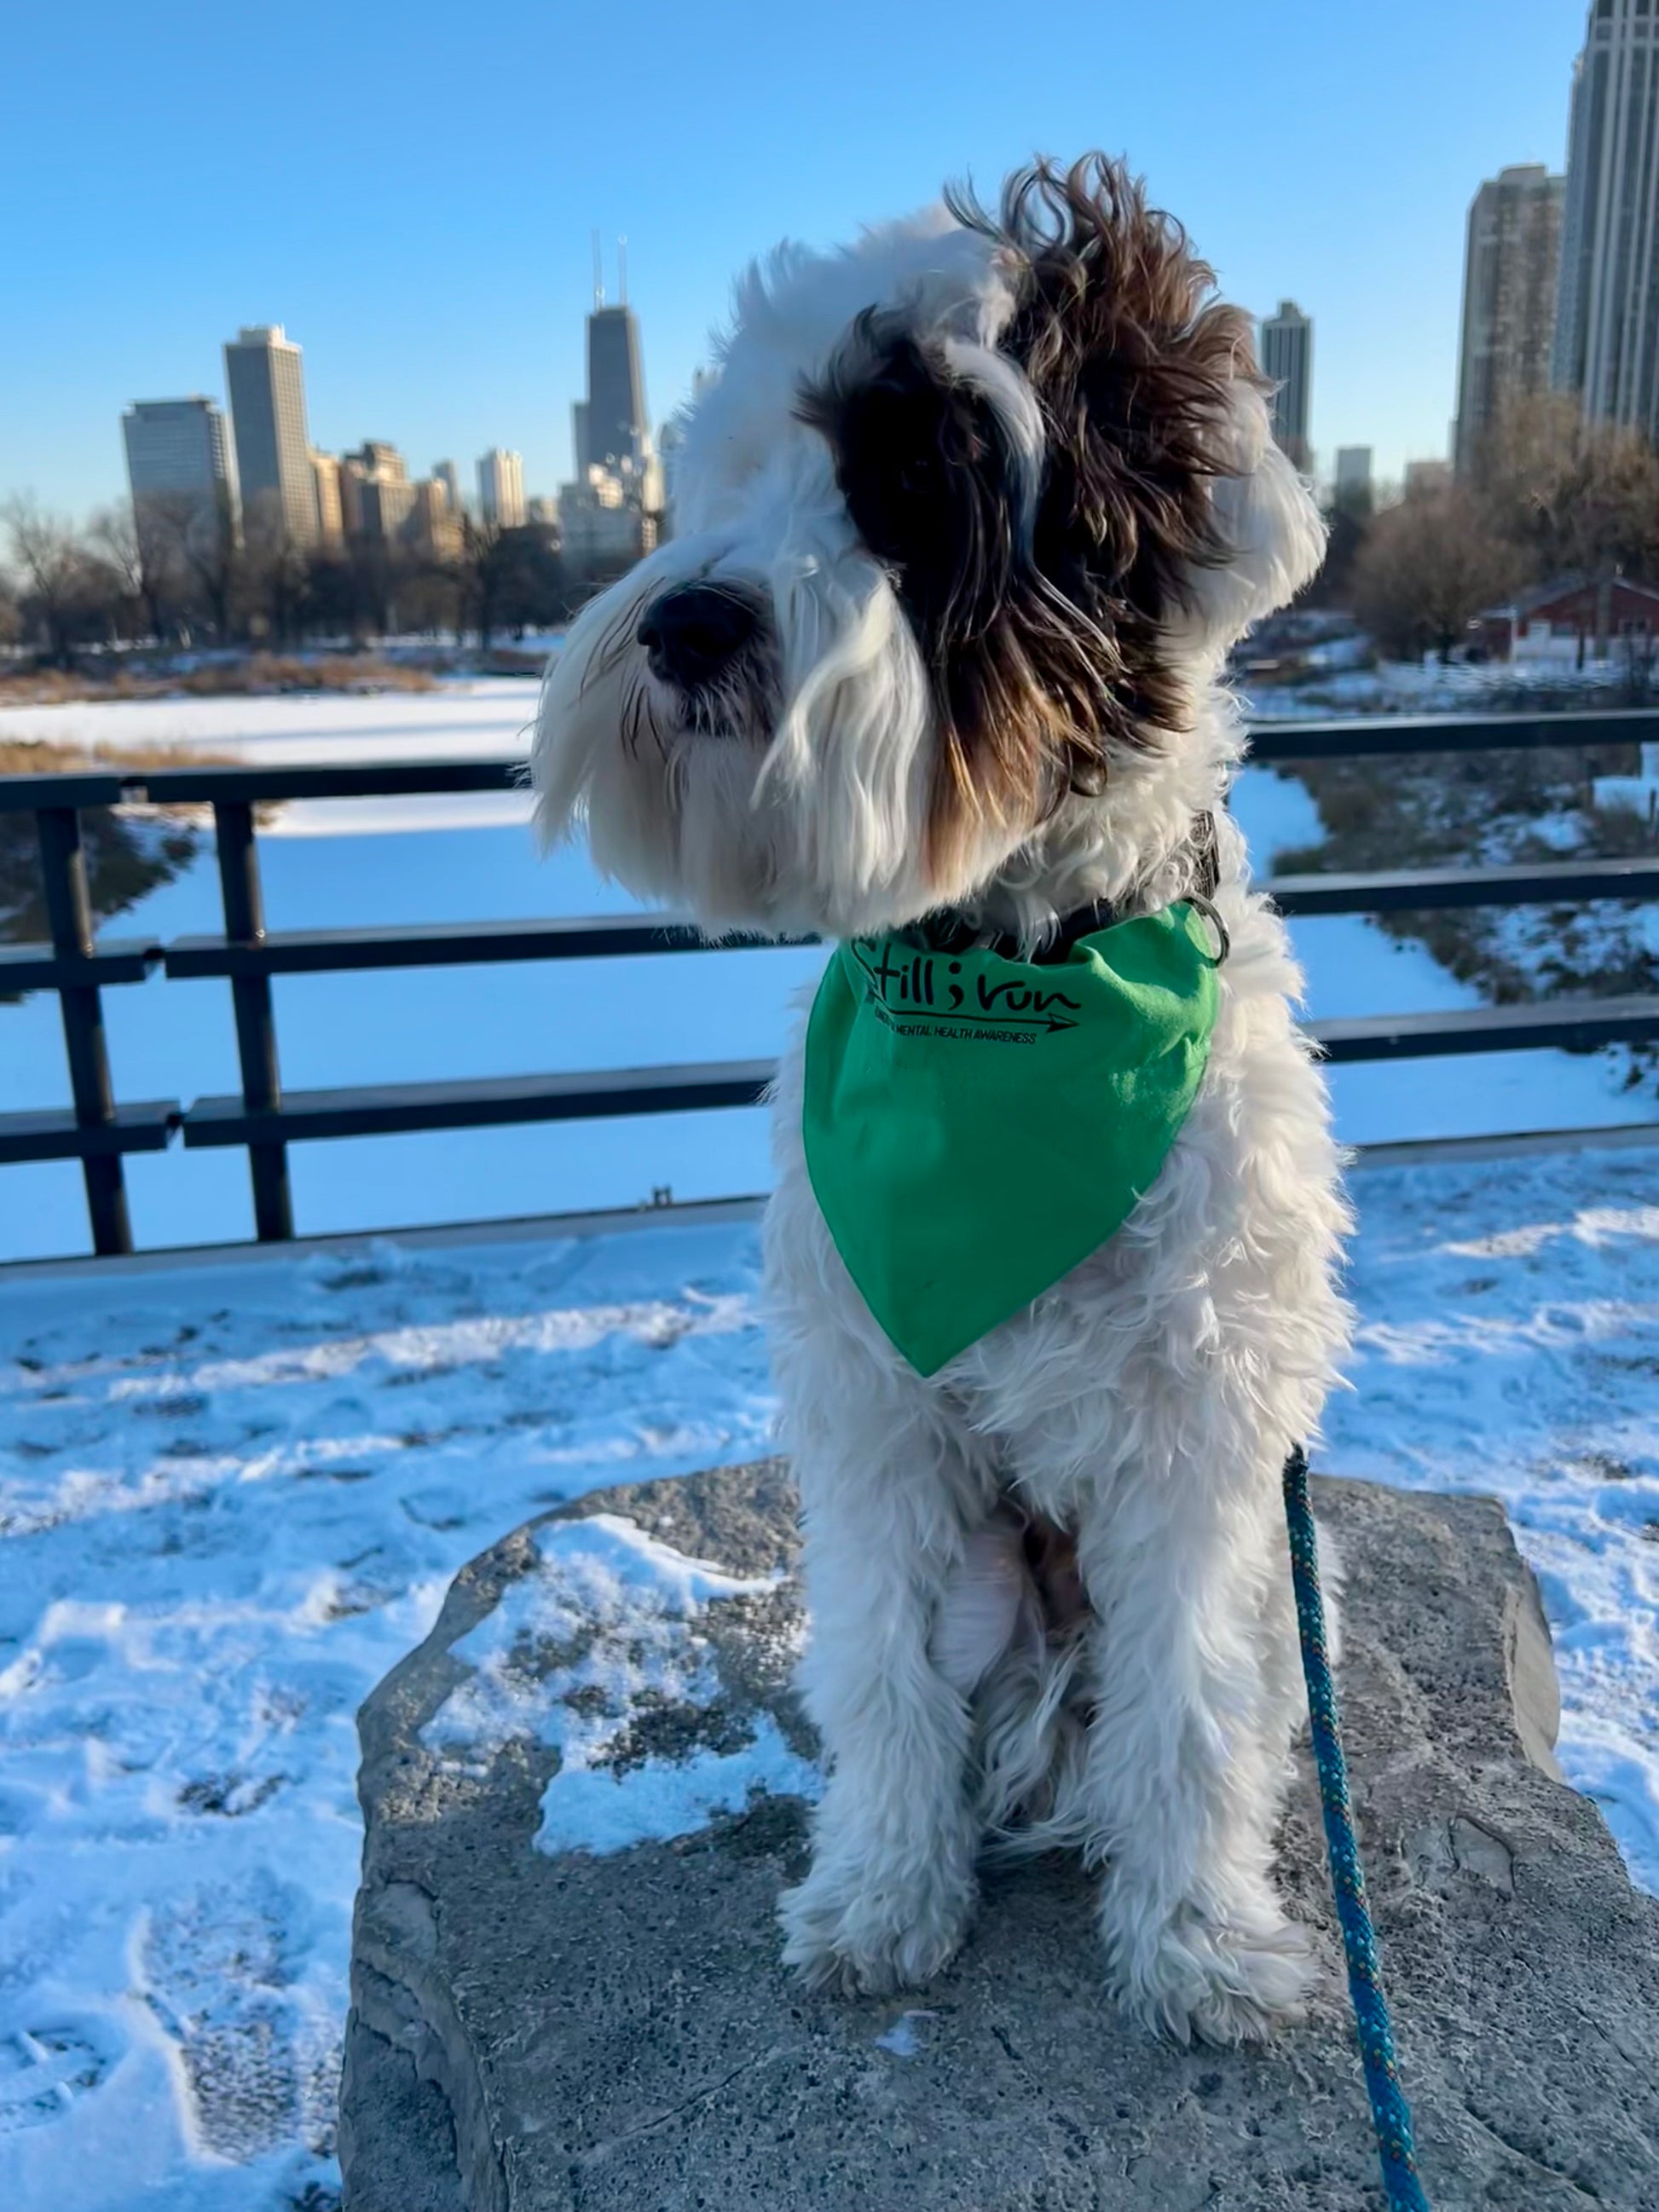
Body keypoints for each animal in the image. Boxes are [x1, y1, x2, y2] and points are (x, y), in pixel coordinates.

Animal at [540, 160, 1353, 2053]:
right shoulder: (877, 1413)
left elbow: (1187, 1704)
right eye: (730, 471)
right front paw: (883, 1899)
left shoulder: (1201, 1433)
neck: (1015, 969)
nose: (680, 622)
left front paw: (1197, 1944)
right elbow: (889, 1678)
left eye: (914, 470)